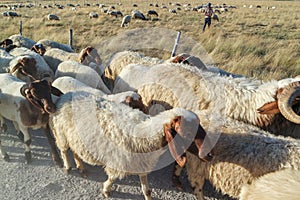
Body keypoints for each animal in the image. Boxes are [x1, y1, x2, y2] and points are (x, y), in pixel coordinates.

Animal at [49, 91, 213, 200]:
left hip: (74, 138)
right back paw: (68, 167)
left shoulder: (142, 164)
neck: (143, 133)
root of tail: (65, 95)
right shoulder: (118, 162)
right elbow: (112, 178)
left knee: (75, 151)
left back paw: (81, 168)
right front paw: (106, 190)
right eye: (188, 132)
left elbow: (147, 190)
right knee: (64, 150)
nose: (210, 155)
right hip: (62, 133)